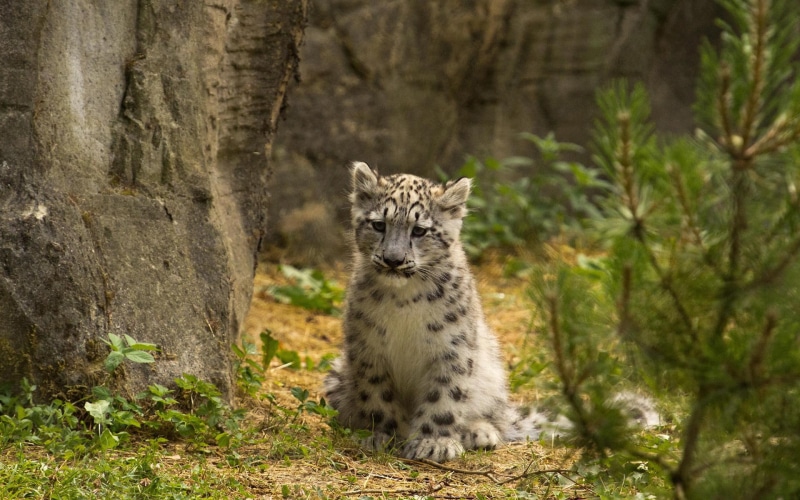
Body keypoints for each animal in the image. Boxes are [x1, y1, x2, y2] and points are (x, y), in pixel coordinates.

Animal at [323, 162, 658, 463]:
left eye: (419, 230)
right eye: (378, 224)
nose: (393, 260)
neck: (404, 300)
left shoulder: (452, 347)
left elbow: (444, 396)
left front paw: (434, 443)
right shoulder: (369, 347)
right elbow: (378, 397)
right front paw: (385, 436)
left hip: (491, 376)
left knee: (494, 416)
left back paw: (479, 432)